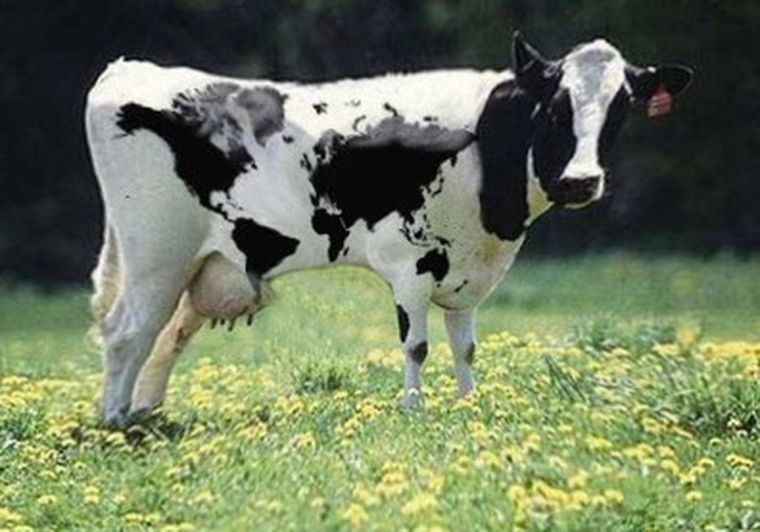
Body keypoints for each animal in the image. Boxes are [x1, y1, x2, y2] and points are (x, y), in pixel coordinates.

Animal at [85, 33, 692, 428]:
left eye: (621, 108)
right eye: (554, 107)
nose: (581, 181)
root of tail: (130, 68)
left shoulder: (468, 272)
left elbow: (466, 347)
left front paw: (470, 405)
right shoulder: (411, 263)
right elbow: (417, 345)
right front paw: (415, 410)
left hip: (199, 263)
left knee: (165, 336)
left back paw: (146, 416)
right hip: (156, 253)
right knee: (128, 331)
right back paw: (116, 424)